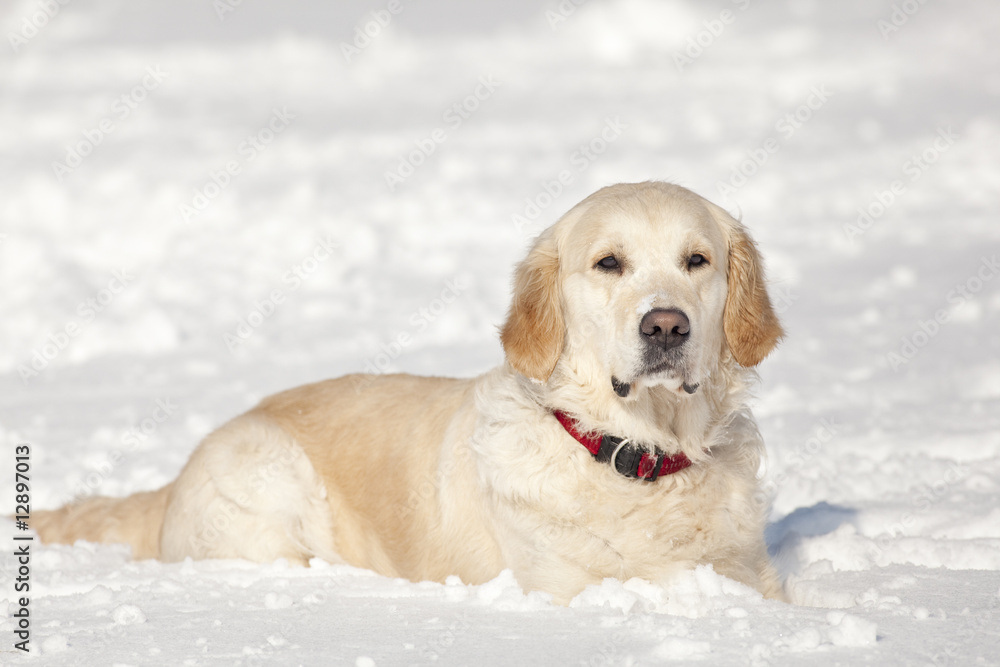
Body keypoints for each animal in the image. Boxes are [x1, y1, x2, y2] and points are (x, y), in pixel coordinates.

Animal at [33, 183, 788, 604]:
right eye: (609, 263)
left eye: (697, 260)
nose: (666, 325)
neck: (641, 453)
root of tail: (176, 476)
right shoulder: (562, 587)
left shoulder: (752, 576)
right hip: (268, 478)